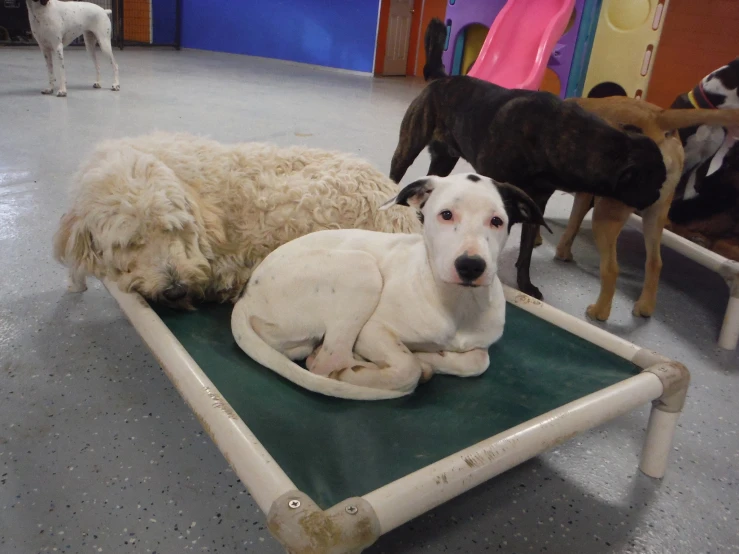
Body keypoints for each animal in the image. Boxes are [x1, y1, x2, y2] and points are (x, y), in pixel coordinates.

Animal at [231, 171, 548, 396]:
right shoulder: (372, 331)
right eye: (446, 215)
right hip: (362, 269)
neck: (457, 303)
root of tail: (245, 298)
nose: (470, 266)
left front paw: (432, 358)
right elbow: (407, 367)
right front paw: (415, 364)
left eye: (497, 221)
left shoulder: (479, 345)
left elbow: (478, 361)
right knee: (327, 363)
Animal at [394, 17, 672, 300]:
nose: (656, 198)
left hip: (444, 159)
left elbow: (526, 251)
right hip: (408, 147)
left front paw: (525, 285)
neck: (557, 134)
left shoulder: (535, 202)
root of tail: (442, 78)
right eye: (657, 181)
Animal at [552, 96, 739, 320]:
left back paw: (600, 312)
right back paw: (645, 307)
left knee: (611, 269)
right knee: (655, 262)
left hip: (606, 216)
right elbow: (572, 226)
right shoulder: (583, 196)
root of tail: (657, 117)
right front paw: (563, 252)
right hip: (655, 217)